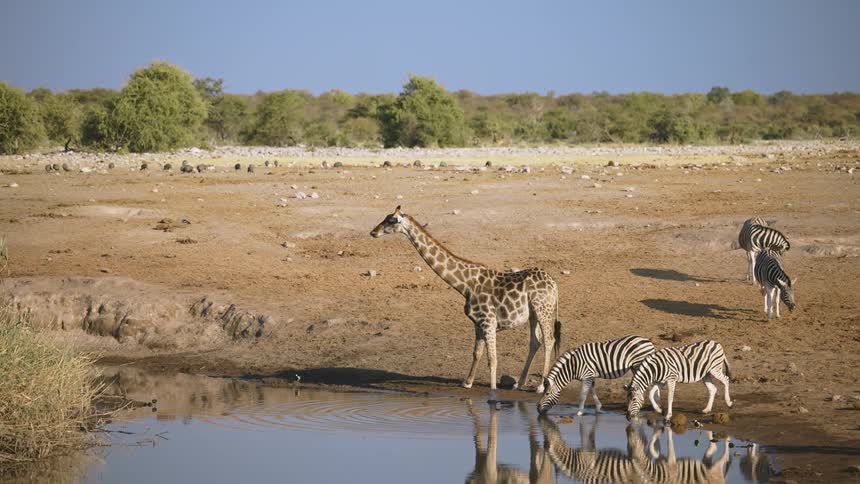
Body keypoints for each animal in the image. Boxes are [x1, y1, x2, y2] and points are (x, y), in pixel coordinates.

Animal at [371, 206, 562, 401]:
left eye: (391, 220)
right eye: (386, 218)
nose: (373, 232)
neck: (466, 285)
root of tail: (554, 285)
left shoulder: (489, 322)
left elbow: (492, 359)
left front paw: (492, 391)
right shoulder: (478, 323)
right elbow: (477, 353)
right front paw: (467, 382)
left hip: (543, 310)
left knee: (549, 340)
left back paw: (540, 386)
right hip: (533, 314)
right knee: (536, 342)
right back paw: (519, 383)